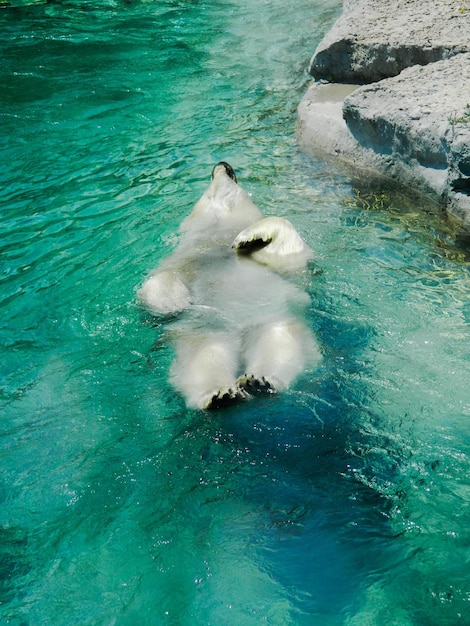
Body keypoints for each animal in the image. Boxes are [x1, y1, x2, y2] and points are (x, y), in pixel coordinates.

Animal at [138, 161, 322, 410]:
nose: (223, 164)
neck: (216, 236)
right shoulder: (184, 261)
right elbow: (155, 284)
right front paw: (174, 302)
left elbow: (286, 253)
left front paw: (248, 238)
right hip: (204, 333)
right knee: (204, 358)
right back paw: (220, 393)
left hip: (274, 320)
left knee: (280, 342)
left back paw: (259, 380)